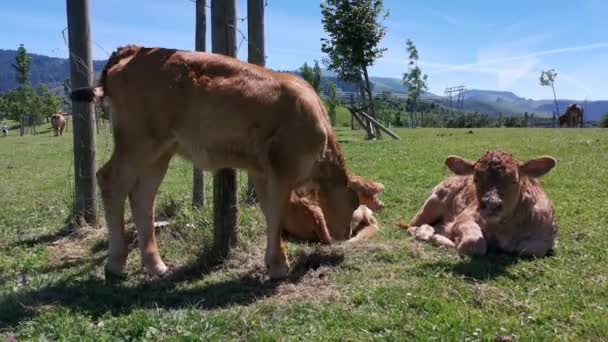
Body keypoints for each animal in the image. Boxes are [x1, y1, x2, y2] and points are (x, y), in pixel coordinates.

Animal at [71, 44, 358, 280]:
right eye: (354, 203)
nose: (347, 234)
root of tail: (135, 49)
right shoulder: (282, 167)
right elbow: (277, 213)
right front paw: (279, 267)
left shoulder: (261, 171)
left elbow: (270, 212)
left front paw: (274, 261)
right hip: (137, 142)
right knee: (110, 181)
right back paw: (115, 264)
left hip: (159, 153)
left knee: (142, 197)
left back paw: (156, 266)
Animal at [402, 151, 560, 258]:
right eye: (475, 179)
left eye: (515, 180)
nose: (491, 204)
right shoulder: (464, 217)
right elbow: (473, 244)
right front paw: (448, 240)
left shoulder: (547, 236)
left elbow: (528, 249)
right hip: (431, 204)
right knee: (411, 226)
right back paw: (423, 233)